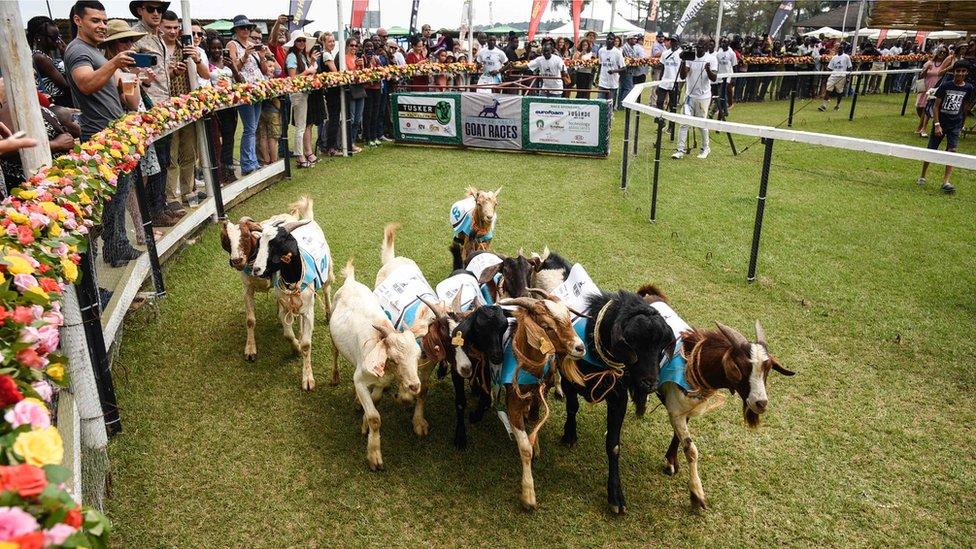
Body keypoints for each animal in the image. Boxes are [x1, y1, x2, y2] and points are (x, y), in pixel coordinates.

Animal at [332, 260, 424, 468]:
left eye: (418, 355)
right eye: (395, 359)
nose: (414, 386)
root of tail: (350, 281)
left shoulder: (381, 381)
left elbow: (375, 400)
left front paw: (364, 420)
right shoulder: (359, 379)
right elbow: (375, 417)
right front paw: (374, 455)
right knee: (334, 353)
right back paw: (334, 377)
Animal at [640, 284, 792, 512]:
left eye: (767, 369)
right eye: (740, 367)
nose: (761, 403)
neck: (692, 363)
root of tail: (650, 294)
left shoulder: (686, 411)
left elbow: (678, 437)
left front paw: (671, 462)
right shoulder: (675, 410)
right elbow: (691, 449)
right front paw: (697, 495)